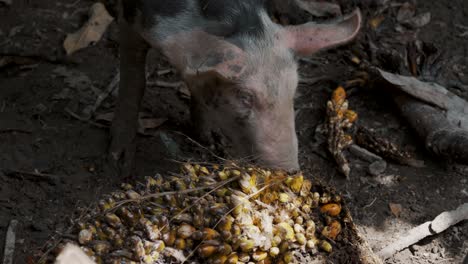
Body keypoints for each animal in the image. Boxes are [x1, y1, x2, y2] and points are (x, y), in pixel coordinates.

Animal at [109, 0, 362, 177]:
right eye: (245, 96)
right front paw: (119, 164)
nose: (289, 170)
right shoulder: (132, 19)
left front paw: (212, 140)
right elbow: (134, 80)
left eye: (294, 91)